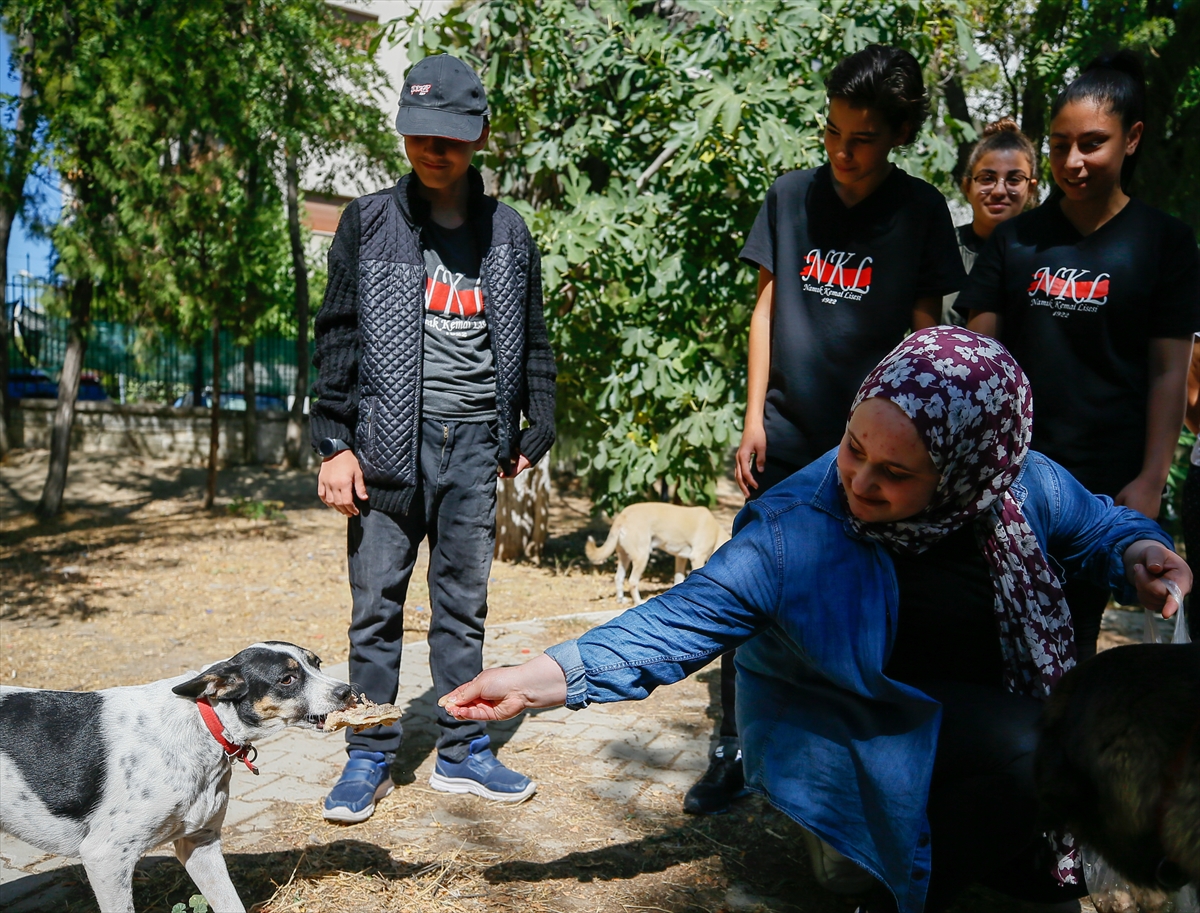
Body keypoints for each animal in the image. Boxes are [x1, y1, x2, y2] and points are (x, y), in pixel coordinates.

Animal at [0, 643, 352, 911]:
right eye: (287, 679)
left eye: (317, 664)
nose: (347, 690)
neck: (205, 722)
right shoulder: (105, 857)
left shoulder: (200, 845)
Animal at [583, 499, 724, 604]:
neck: (717, 533)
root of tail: (622, 516)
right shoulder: (697, 557)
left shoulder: (680, 558)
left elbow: (678, 580)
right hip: (642, 556)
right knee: (632, 581)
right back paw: (638, 601)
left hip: (624, 557)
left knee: (618, 577)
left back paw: (621, 599)